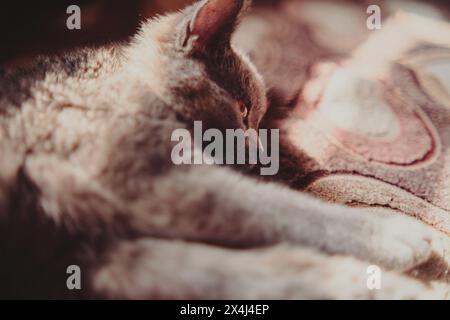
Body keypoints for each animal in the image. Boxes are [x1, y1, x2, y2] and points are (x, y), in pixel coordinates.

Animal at [0, 0, 436, 300]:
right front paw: (391, 234)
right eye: (242, 111)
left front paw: (382, 285)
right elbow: (273, 208)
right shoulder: (137, 173)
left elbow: (254, 273)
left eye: (259, 121)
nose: (264, 158)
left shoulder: (101, 259)